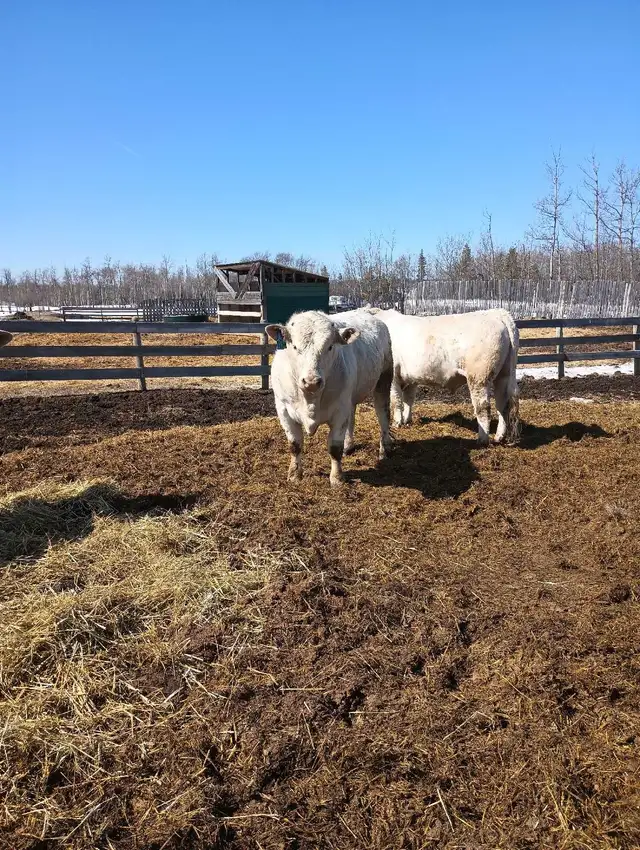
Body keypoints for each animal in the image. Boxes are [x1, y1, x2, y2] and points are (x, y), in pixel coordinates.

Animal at [265, 310, 393, 486]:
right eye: (295, 346)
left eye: (330, 347)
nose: (311, 381)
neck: (310, 399)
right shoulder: (283, 409)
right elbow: (295, 445)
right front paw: (294, 474)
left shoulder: (339, 411)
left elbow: (334, 448)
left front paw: (337, 478)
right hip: (351, 396)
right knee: (352, 416)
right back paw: (349, 446)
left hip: (384, 379)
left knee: (383, 414)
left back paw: (384, 448)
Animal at [367, 308, 520, 445]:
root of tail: (496, 313)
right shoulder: (411, 378)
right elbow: (408, 400)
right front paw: (407, 420)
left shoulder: (393, 377)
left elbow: (397, 401)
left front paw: (397, 422)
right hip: (504, 375)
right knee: (502, 404)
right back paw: (499, 437)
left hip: (479, 377)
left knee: (483, 407)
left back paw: (482, 440)